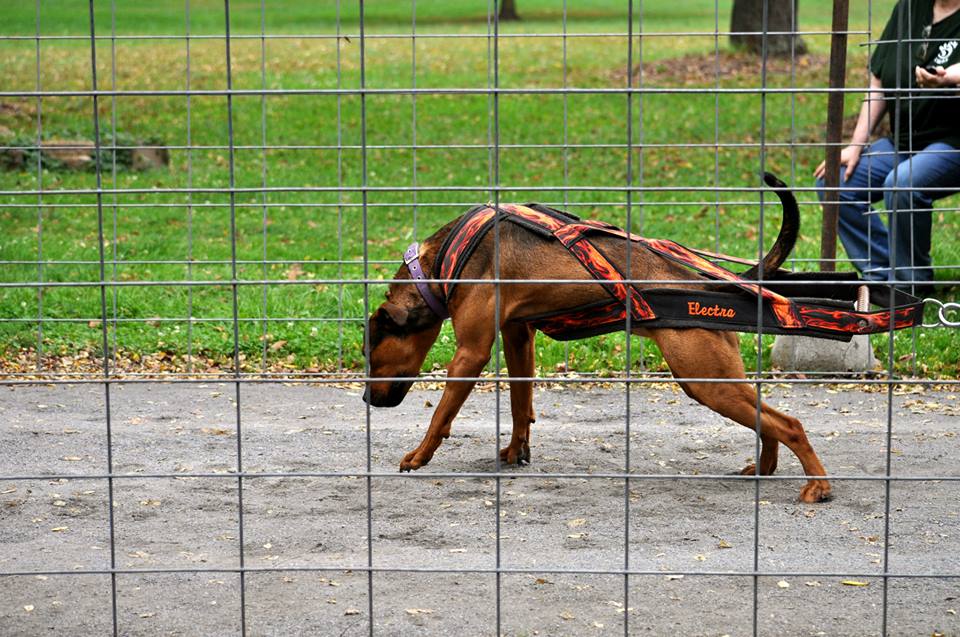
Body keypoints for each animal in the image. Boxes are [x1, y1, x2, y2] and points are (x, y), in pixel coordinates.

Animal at [364, 174, 828, 502]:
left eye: (371, 354)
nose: (367, 398)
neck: (437, 264)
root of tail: (707, 284)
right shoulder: (518, 337)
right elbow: (519, 406)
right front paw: (516, 452)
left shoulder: (470, 353)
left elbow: (441, 415)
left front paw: (419, 456)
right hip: (715, 378)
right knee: (769, 418)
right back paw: (766, 467)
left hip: (706, 379)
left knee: (789, 423)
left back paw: (818, 485)